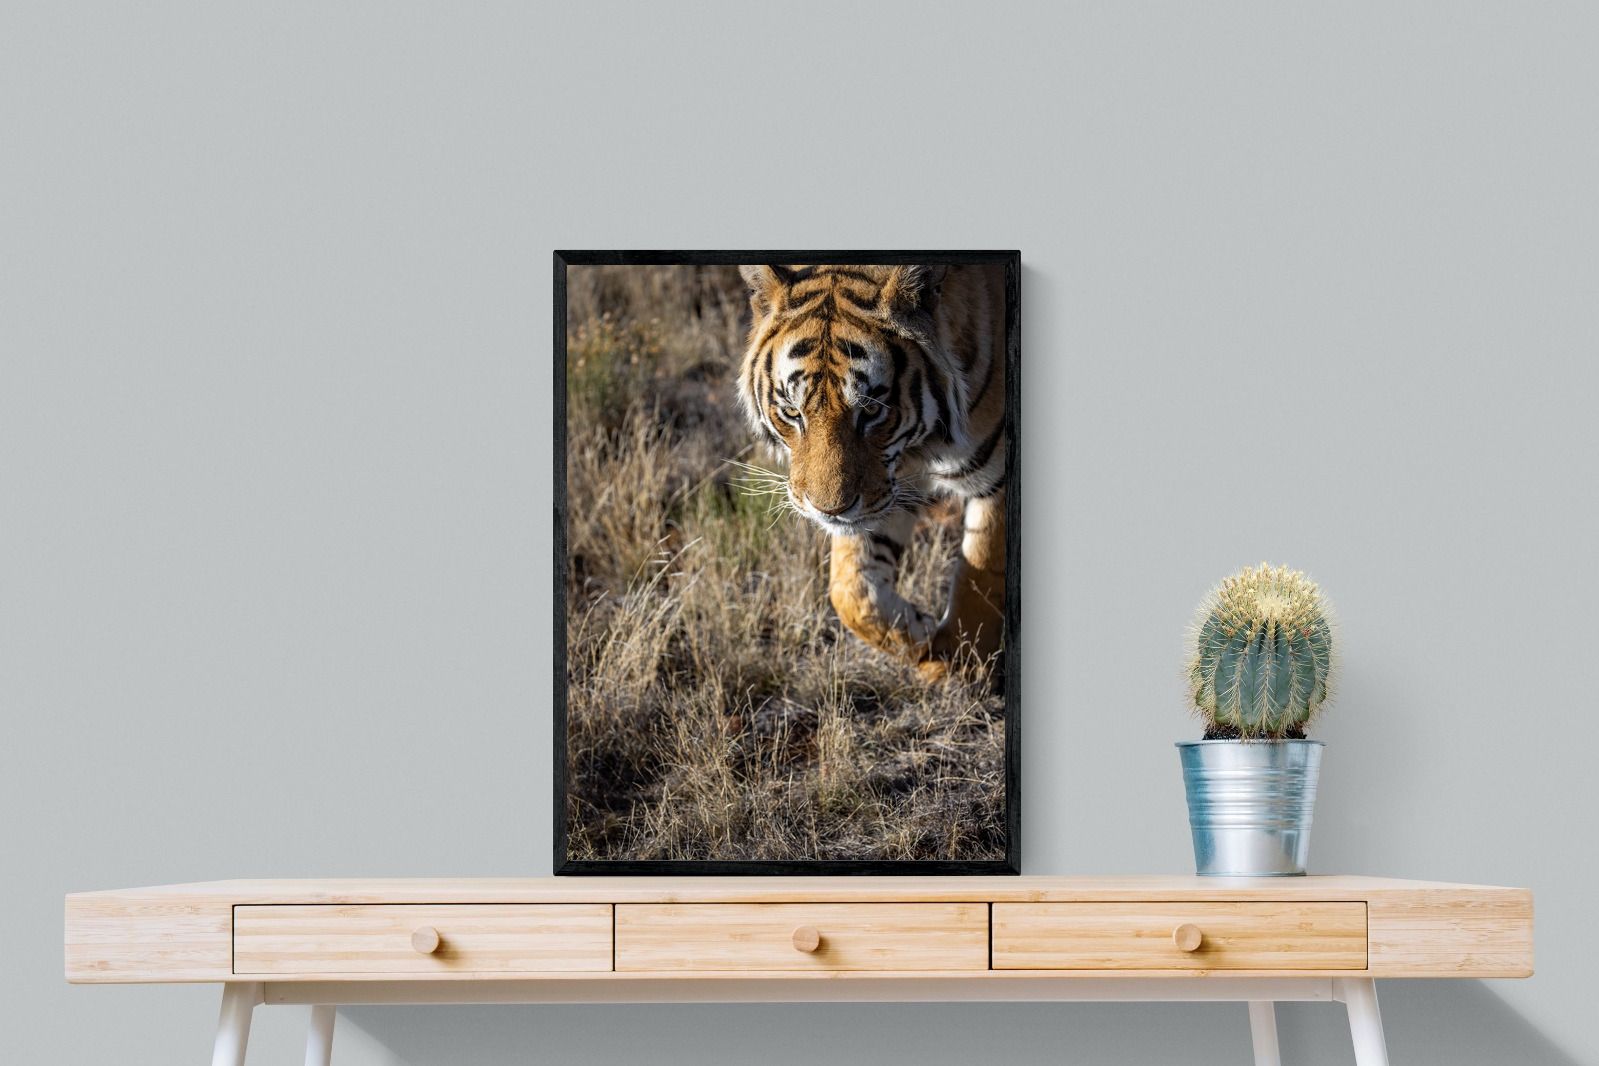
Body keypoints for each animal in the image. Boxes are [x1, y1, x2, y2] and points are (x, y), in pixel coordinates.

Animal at [736, 263, 1009, 677]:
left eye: (871, 410)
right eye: (792, 413)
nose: (829, 510)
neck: (921, 445)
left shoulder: (998, 477)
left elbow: (980, 572)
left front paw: (957, 665)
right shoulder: (886, 489)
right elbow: (850, 590)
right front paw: (919, 632)